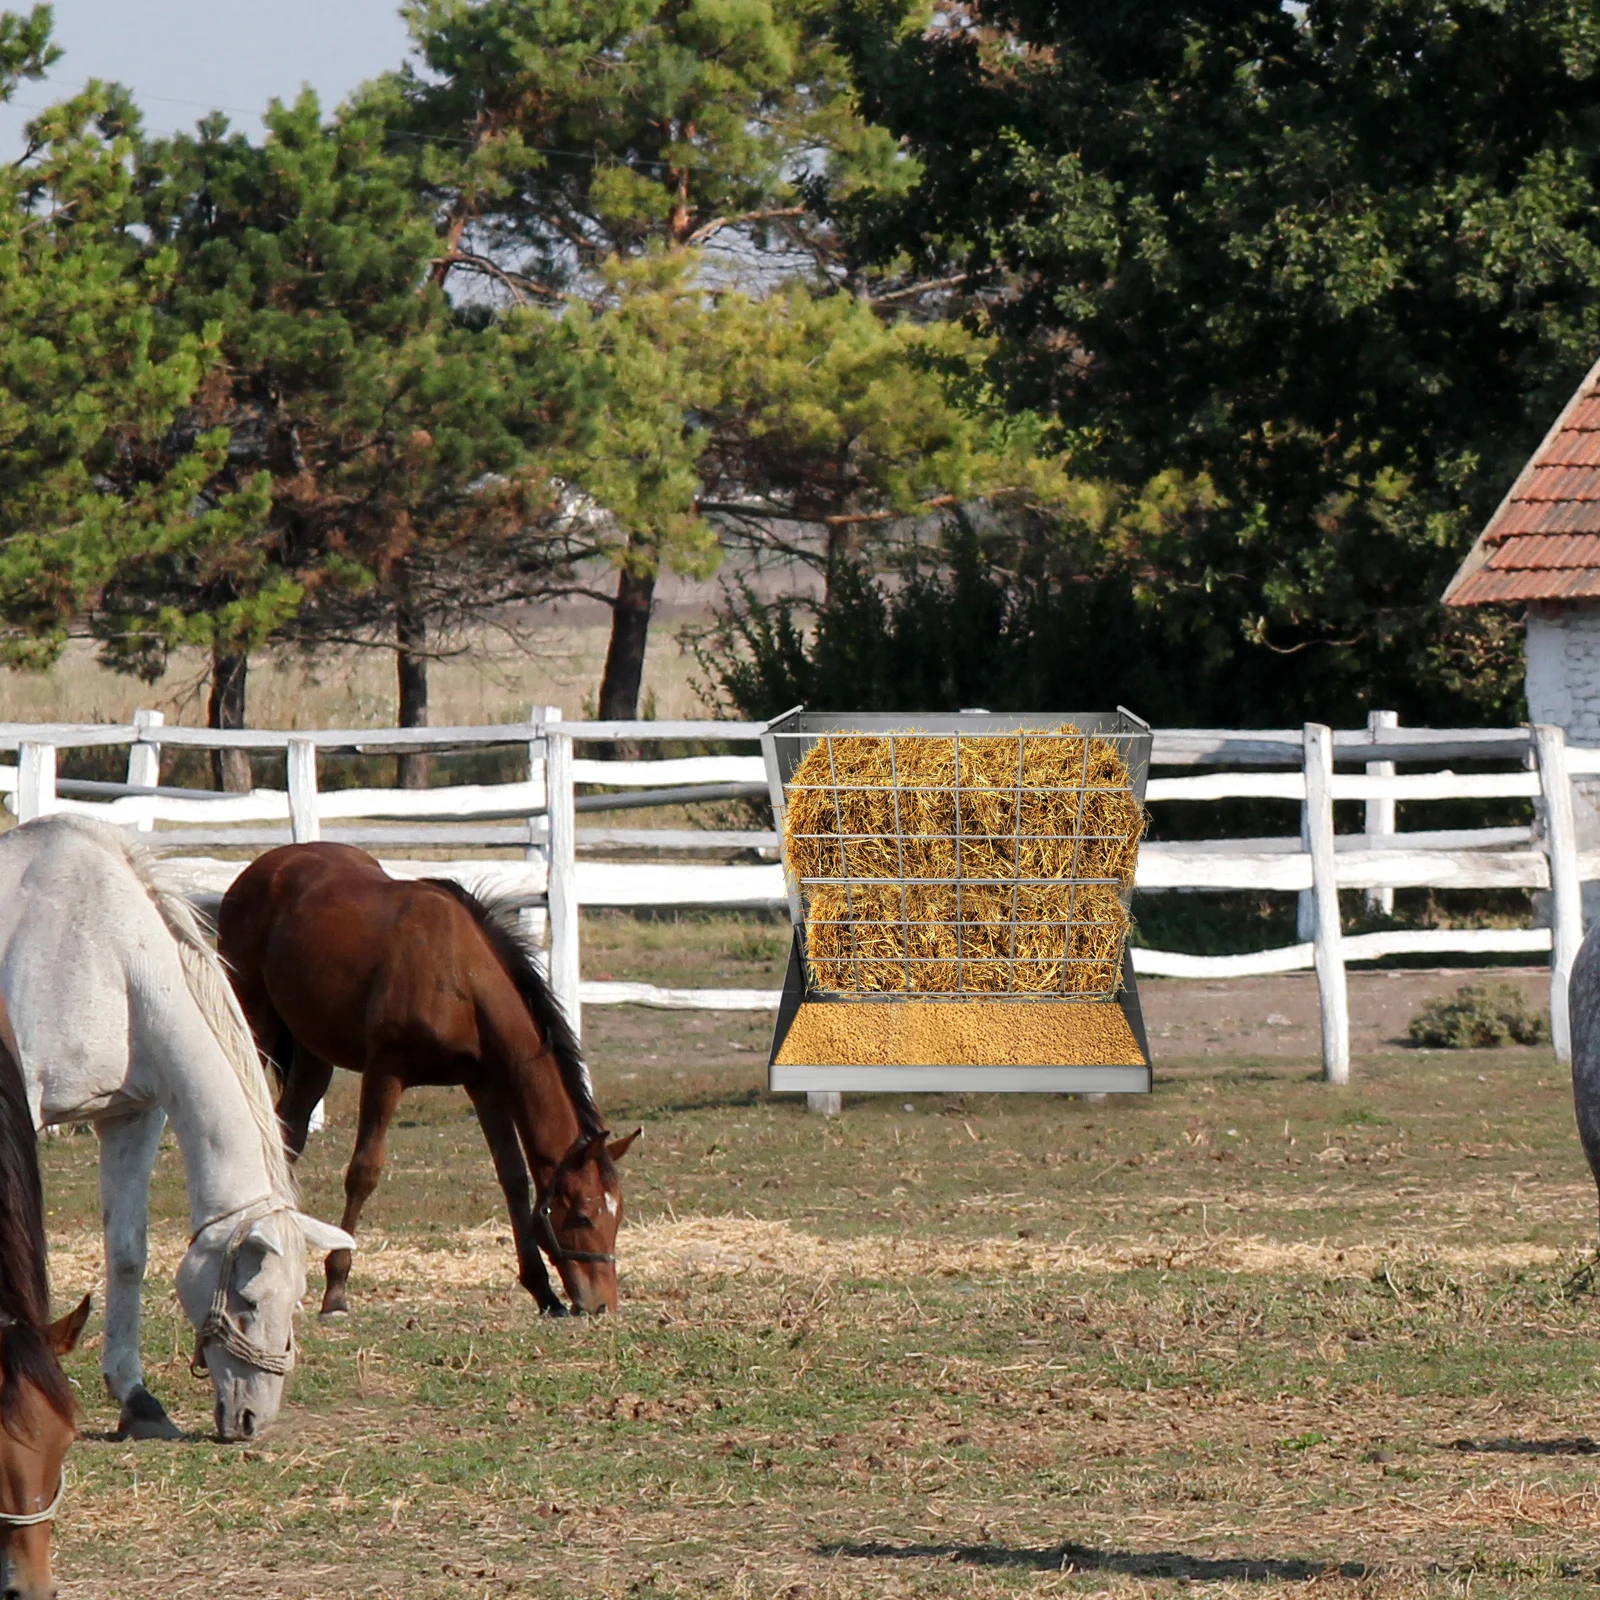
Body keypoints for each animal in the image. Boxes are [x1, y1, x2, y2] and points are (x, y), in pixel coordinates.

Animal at [0, 815, 354, 1443]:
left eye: (298, 1299)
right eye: (248, 1300)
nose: (252, 1419)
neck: (102, 956)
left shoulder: (131, 1116)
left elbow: (126, 1253)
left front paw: (137, 1400)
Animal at [216, 843, 638, 1318]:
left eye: (618, 1215)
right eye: (583, 1214)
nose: (602, 1304)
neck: (460, 978)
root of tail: (262, 867)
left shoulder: (485, 1084)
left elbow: (512, 1176)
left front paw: (542, 1291)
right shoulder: (386, 1072)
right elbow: (364, 1171)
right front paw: (337, 1289)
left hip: (312, 1054)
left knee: (287, 1134)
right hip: (254, 1025)